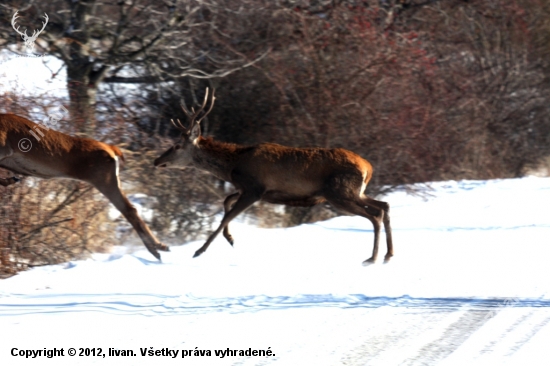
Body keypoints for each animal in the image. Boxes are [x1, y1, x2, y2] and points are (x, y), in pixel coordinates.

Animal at [0, 114, 168, 260]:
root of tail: (111, 149)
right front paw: (11, 179)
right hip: (109, 179)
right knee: (129, 209)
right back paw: (157, 249)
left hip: (103, 179)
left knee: (128, 209)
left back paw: (158, 248)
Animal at [155, 90, 396, 264]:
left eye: (176, 146)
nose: (157, 161)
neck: (233, 165)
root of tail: (368, 167)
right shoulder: (250, 190)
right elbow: (226, 201)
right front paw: (230, 238)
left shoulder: (254, 189)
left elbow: (227, 215)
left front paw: (200, 250)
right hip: (355, 192)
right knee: (384, 205)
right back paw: (388, 255)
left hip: (339, 192)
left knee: (375, 214)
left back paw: (372, 258)